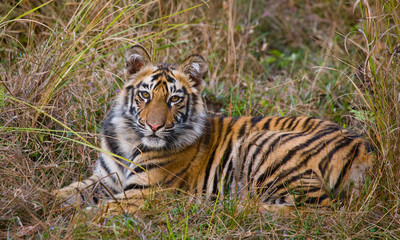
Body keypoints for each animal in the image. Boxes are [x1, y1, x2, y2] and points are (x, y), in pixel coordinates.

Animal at [52, 44, 372, 213]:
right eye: (145, 95)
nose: (154, 126)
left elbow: (97, 211)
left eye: (174, 99)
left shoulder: (145, 192)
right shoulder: (104, 179)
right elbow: (64, 193)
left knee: (312, 208)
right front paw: (41, 202)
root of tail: (364, 147)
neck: (130, 139)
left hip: (262, 145)